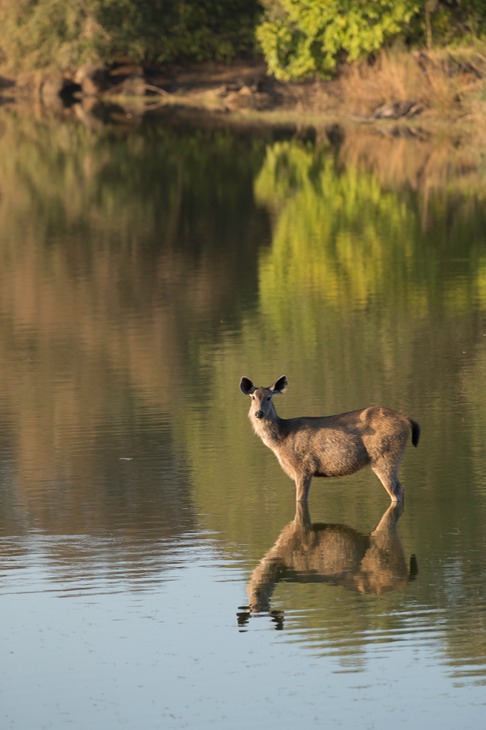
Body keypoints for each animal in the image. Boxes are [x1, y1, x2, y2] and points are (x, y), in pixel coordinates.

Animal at [239, 376, 418, 500]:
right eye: (253, 397)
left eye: (269, 397)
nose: (259, 413)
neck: (281, 439)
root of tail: (407, 419)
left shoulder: (303, 467)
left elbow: (300, 500)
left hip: (385, 456)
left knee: (397, 490)